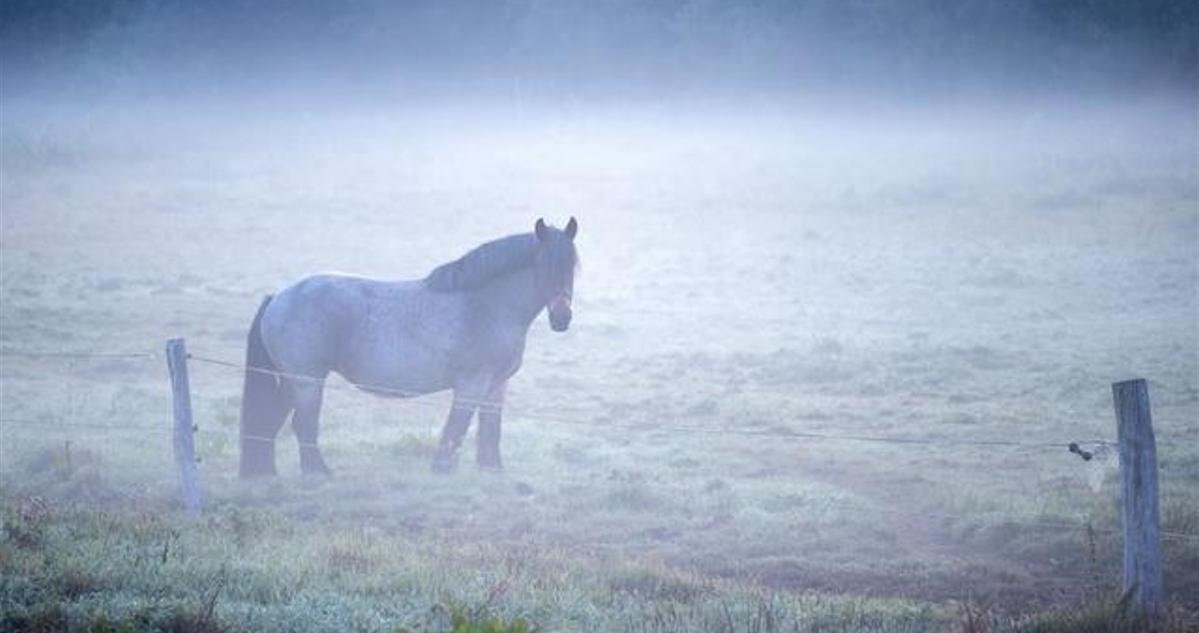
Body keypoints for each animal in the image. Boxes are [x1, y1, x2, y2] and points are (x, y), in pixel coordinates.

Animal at [237, 218, 575, 474]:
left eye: (572, 265)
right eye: (542, 264)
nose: (562, 318)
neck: (486, 305)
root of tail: (279, 297)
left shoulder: (496, 384)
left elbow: (490, 428)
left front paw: (491, 469)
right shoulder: (472, 383)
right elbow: (457, 427)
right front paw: (442, 469)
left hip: (290, 381)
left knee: (270, 421)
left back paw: (267, 473)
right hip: (307, 381)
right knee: (303, 424)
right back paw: (318, 473)